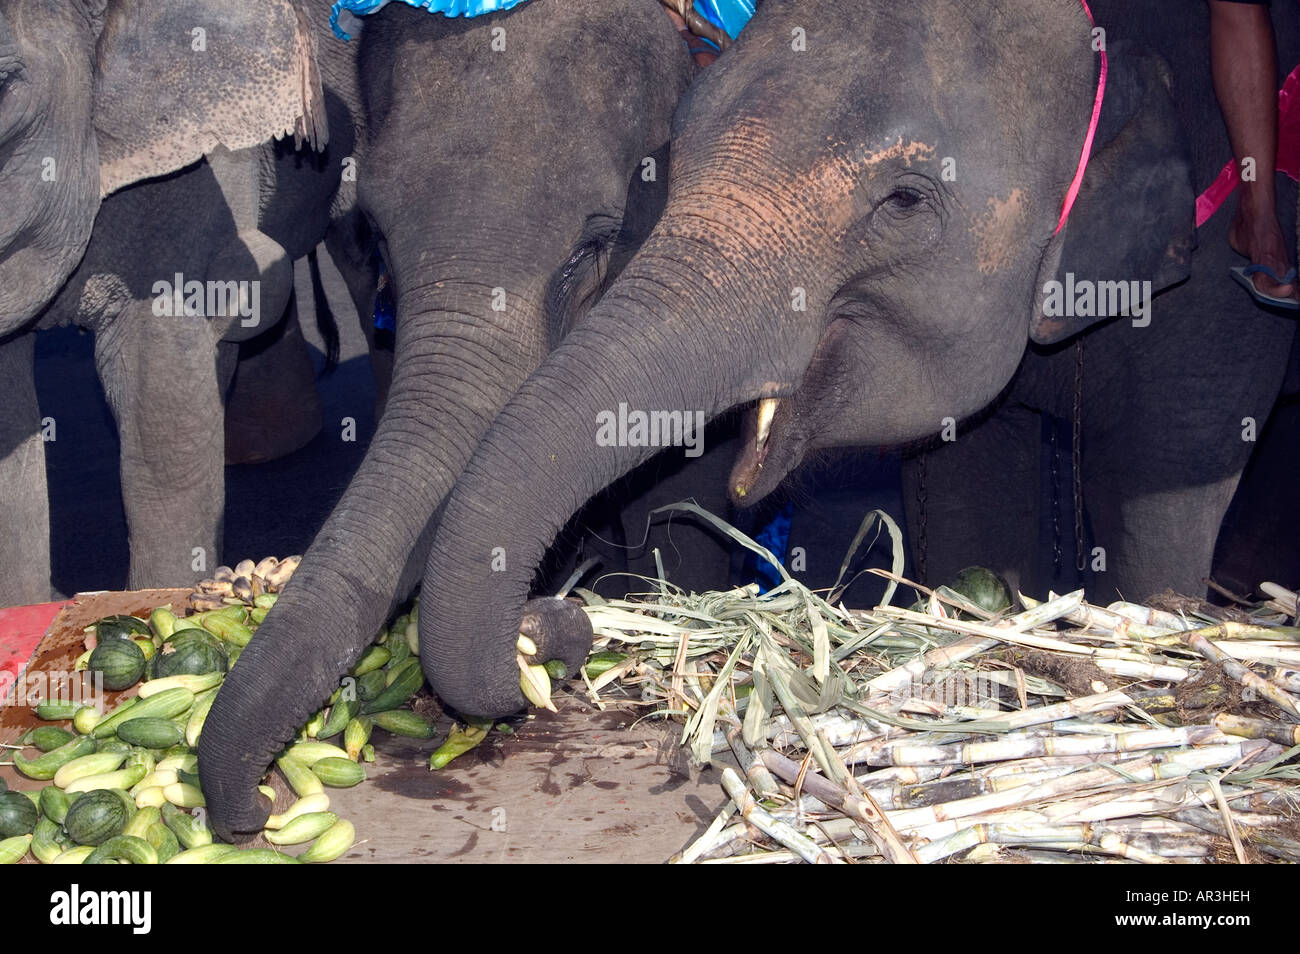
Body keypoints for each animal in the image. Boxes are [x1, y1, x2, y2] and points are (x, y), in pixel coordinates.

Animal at [397, 0, 1300, 722]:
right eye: (675, 155)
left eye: (903, 200)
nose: (551, 627)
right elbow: (970, 478)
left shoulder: (1214, 303)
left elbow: (1164, 498)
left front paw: (1160, 630)